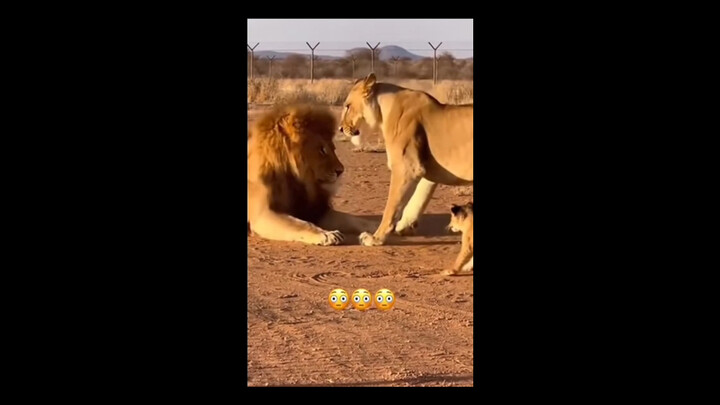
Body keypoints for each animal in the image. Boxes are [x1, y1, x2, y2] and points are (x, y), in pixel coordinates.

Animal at [248, 104, 377, 245]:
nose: (340, 171)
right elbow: (301, 224)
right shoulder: (262, 214)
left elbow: (354, 219)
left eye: (333, 148)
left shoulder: (316, 211)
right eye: (322, 150)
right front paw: (327, 234)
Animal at [338, 73, 473, 246]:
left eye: (348, 106)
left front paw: (375, 238)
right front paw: (405, 225)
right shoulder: (427, 168)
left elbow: (391, 207)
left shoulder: (407, 167)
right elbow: (420, 195)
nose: (340, 128)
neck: (383, 110)